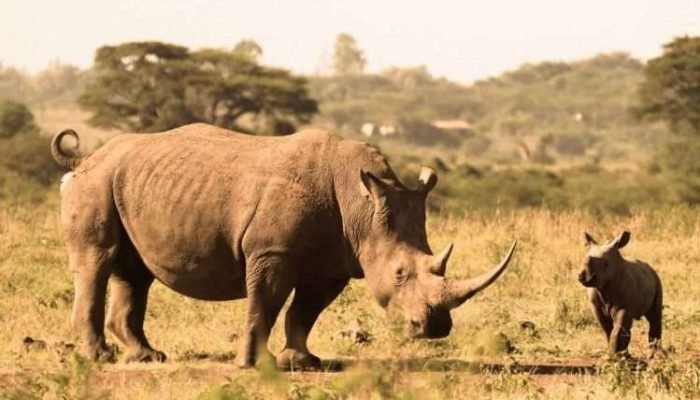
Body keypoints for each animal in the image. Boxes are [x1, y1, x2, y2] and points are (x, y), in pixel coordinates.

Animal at [51, 123, 516, 369]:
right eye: (400, 274)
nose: (435, 328)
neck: (362, 206)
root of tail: (85, 158)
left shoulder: (332, 263)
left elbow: (304, 312)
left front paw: (301, 362)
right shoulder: (271, 251)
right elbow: (265, 304)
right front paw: (252, 365)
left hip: (129, 185)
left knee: (134, 273)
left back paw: (148, 357)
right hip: (95, 185)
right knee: (97, 261)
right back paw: (99, 358)